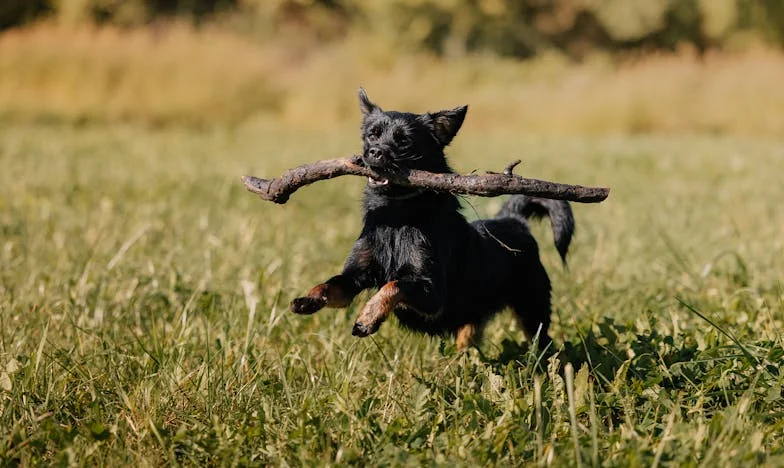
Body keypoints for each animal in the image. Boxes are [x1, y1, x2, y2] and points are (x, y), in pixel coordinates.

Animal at [290, 88, 572, 352]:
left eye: (404, 141)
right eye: (372, 134)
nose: (374, 152)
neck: (396, 217)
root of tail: (513, 219)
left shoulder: (432, 294)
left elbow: (393, 285)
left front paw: (369, 317)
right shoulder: (354, 277)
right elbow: (330, 285)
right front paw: (308, 299)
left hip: (532, 312)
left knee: (545, 344)